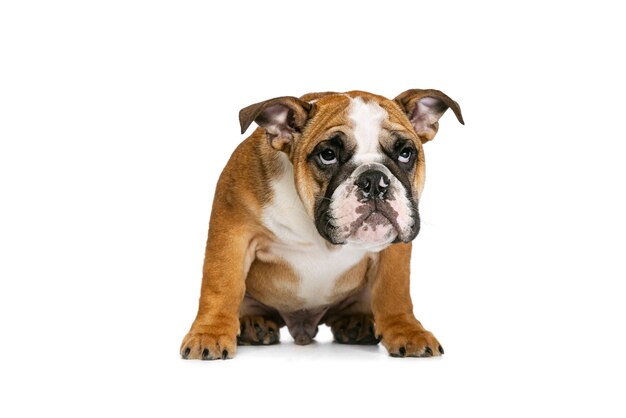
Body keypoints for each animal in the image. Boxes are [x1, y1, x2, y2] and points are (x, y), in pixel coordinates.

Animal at [178, 89, 460, 360]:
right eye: (328, 155)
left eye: (405, 153)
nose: (373, 180)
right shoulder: (233, 233)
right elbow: (221, 285)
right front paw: (210, 333)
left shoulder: (393, 250)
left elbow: (394, 292)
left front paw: (407, 332)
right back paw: (253, 323)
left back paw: (355, 322)